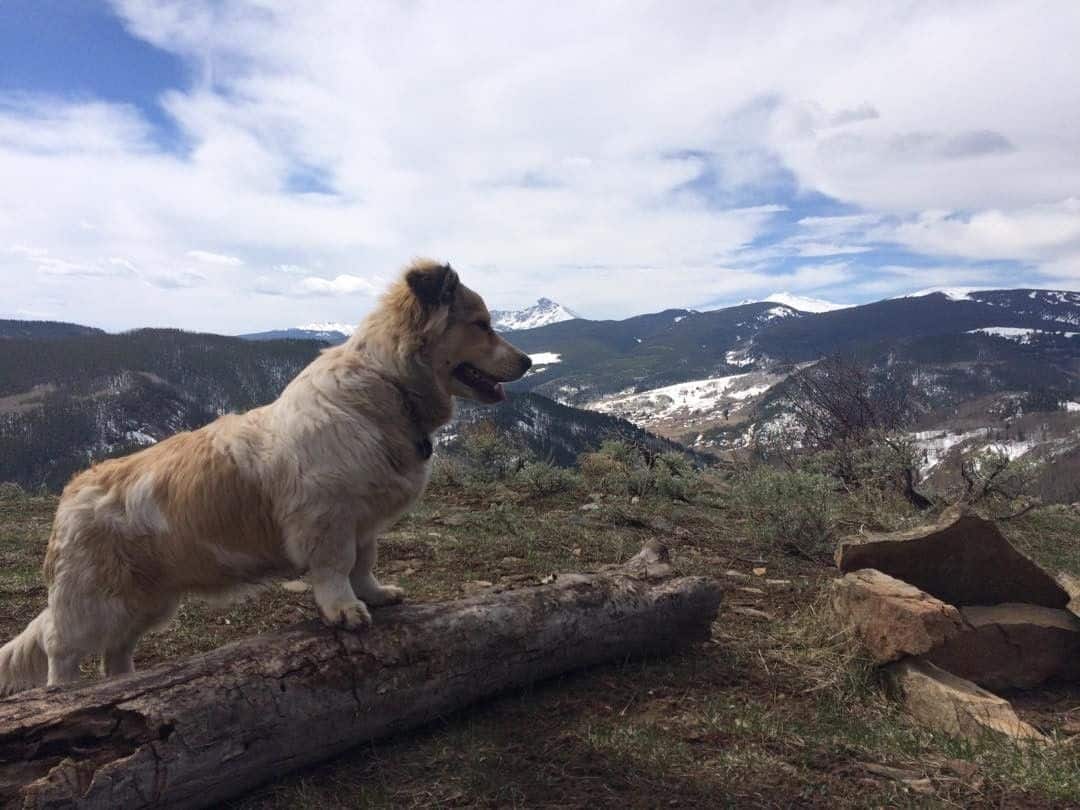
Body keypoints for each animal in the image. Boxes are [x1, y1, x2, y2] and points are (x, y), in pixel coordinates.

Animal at [0, 263, 531, 695]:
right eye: (481, 325)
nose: (527, 362)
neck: (388, 386)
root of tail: (73, 492)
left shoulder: (363, 523)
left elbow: (364, 563)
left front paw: (376, 595)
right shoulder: (327, 521)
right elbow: (337, 569)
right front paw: (345, 610)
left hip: (146, 602)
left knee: (116, 653)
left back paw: (126, 686)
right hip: (90, 602)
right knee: (61, 649)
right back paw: (67, 695)